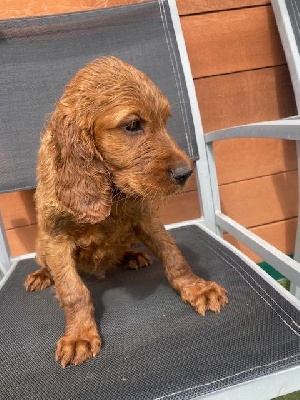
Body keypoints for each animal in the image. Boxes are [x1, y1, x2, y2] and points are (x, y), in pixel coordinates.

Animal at [24, 57, 227, 368]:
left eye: (165, 121)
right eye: (132, 125)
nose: (185, 174)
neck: (110, 190)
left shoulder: (146, 217)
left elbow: (174, 256)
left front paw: (197, 289)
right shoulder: (56, 238)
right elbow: (73, 291)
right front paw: (79, 336)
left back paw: (132, 255)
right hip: (41, 245)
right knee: (48, 266)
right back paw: (41, 275)